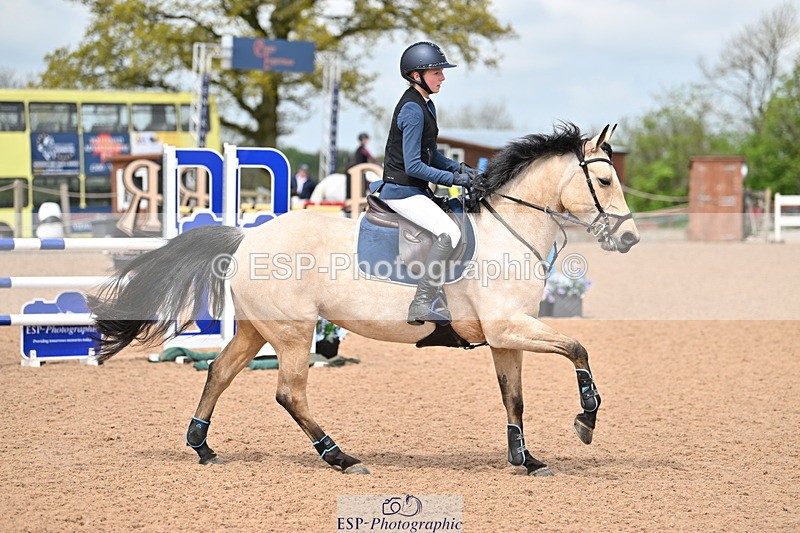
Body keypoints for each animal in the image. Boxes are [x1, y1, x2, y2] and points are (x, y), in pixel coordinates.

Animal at [89, 122, 639, 477]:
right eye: (604, 179)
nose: (630, 238)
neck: (510, 231)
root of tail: (246, 237)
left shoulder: (506, 336)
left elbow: (515, 398)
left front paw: (525, 460)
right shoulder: (510, 327)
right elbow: (578, 349)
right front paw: (586, 421)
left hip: (256, 329)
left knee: (219, 373)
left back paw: (202, 447)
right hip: (293, 332)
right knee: (289, 394)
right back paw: (340, 457)